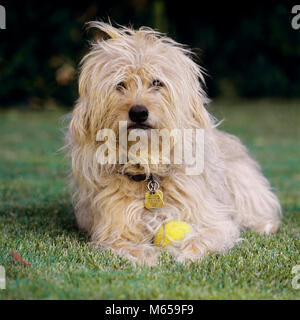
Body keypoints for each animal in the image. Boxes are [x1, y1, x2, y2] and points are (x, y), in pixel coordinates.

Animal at [66, 22, 282, 264]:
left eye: (157, 83)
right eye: (120, 85)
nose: (138, 112)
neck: (148, 169)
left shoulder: (213, 221)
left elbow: (205, 237)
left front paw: (185, 255)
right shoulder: (114, 230)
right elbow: (127, 246)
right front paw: (148, 260)